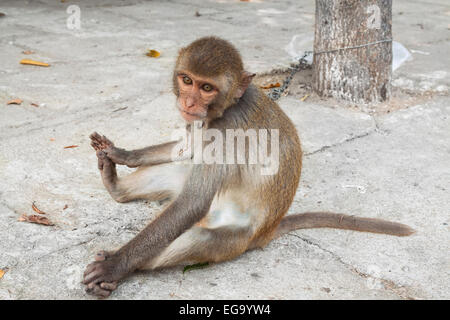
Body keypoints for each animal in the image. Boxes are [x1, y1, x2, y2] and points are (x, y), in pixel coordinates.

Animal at [82, 37, 414, 298]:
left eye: (206, 87)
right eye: (187, 80)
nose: (189, 103)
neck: (226, 107)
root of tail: (266, 232)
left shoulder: (225, 131)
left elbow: (192, 203)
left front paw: (114, 265)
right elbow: (187, 149)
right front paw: (122, 154)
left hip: (237, 239)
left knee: (196, 235)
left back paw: (127, 268)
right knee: (180, 173)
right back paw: (116, 186)